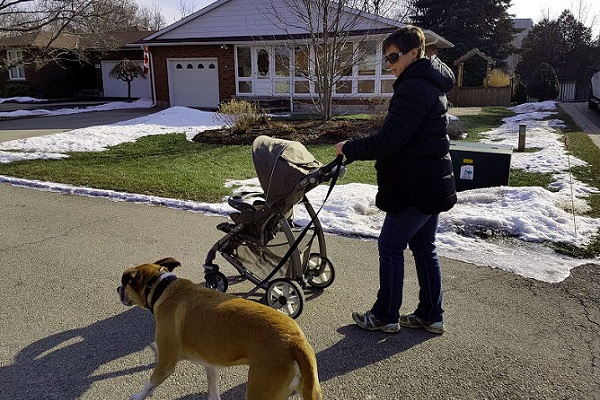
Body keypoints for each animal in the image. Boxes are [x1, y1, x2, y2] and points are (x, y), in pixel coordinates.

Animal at [118, 260, 324, 400]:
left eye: (125, 283)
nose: (117, 289)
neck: (162, 287)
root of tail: (296, 341)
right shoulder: (210, 365)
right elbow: (213, 390)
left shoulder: (165, 364)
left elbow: (149, 383)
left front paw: (139, 396)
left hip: (260, 390)